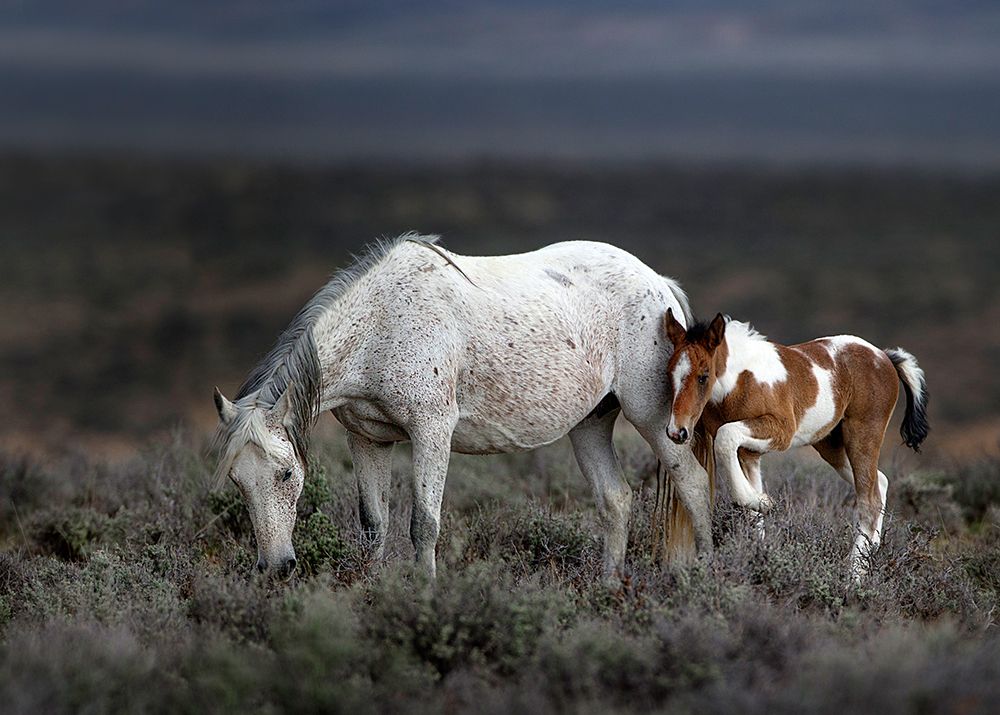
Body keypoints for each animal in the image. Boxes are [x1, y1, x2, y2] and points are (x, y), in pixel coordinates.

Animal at [213, 236, 712, 580]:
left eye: (287, 474)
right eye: (237, 481)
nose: (276, 567)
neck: (381, 323)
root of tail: (659, 284)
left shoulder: (432, 432)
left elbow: (424, 525)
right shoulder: (368, 440)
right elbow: (374, 525)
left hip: (652, 418)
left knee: (694, 484)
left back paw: (707, 577)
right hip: (590, 424)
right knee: (616, 500)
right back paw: (608, 588)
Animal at [664, 310, 928, 580]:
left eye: (703, 376)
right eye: (668, 373)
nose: (677, 431)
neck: (741, 380)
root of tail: (884, 356)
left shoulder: (781, 431)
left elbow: (725, 438)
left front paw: (766, 502)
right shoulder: (750, 453)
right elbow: (752, 510)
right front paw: (759, 548)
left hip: (863, 433)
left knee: (870, 499)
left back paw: (854, 574)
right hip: (831, 444)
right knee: (881, 482)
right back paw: (869, 556)